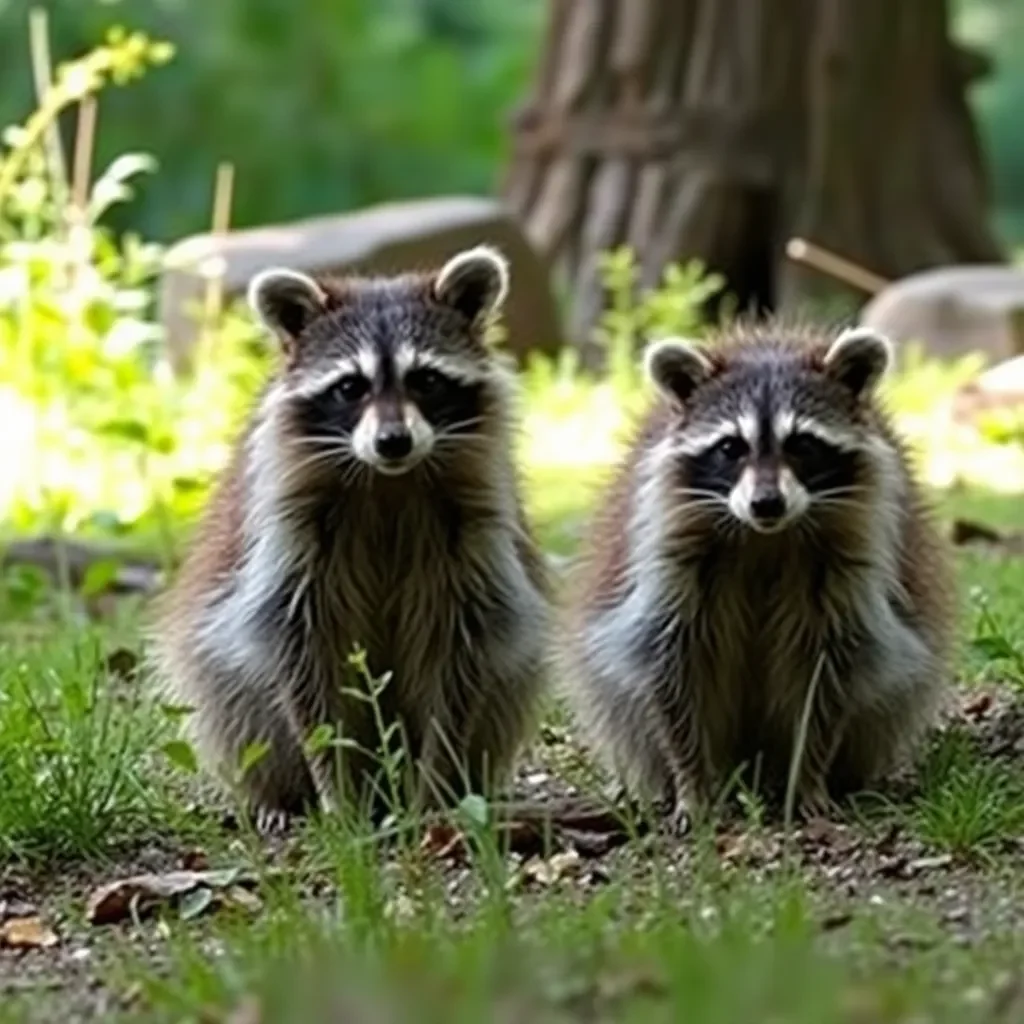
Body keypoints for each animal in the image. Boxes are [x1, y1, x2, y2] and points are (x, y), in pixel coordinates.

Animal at [147, 245, 552, 831]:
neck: (388, 482)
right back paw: (278, 796)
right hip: (222, 674)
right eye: (349, 387)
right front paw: (335, 789)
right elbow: (303, 659)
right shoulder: (287, 546)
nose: (392, 441)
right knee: (232, 703)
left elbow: (460, 657)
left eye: (425, 379)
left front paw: (433, 789)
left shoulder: (476, 538)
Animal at [561, 319, 950, 831]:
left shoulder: (851, 563)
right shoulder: (666, 558)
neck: (765, 536)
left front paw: (809, 777)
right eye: (731, 447)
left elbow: (828, 676)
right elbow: (671, 667)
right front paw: (691, 782)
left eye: (802, 444)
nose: (767, 503)